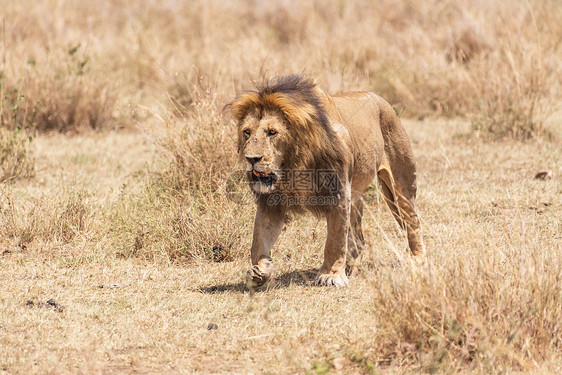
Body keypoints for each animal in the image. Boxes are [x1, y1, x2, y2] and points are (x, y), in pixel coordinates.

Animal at [230, 75, 422, 288]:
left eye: (272, 132)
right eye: (247, 132)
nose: (251, 158)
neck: (293, 164)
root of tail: (381, 99)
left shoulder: (339, 194)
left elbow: (335, 240)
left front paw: (331, 276)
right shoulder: (271, 201)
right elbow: (259, 238)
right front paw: (259, 271)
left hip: (400, 184)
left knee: (413, 222)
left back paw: (417, 260)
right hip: (356, 198)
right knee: (359, 239)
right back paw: (353, 269)